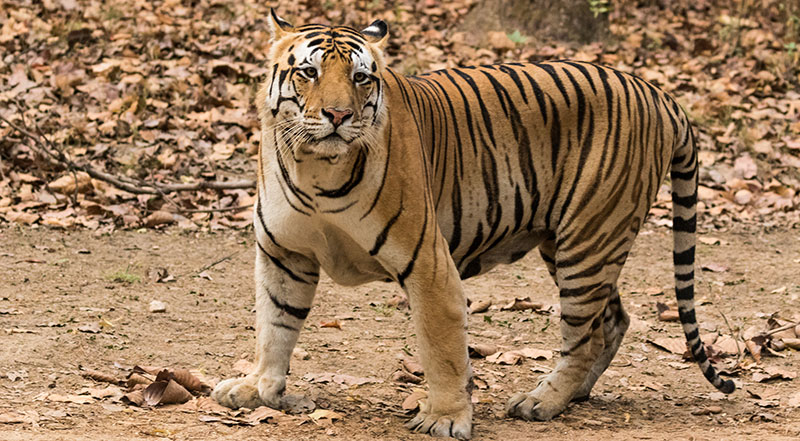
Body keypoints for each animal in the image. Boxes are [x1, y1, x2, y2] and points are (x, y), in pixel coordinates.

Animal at [211, 9, 735, 439]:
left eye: (360, 77)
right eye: (309, 72)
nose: (338, 115)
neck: (315, 167)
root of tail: (659, 93)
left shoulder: (428, 263)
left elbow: (441, 347)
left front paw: (445, 418)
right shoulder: (284, 253)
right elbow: (275, 325)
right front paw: (258, 389)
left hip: (589, 239)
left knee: (584, 335)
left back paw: (542, 401)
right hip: (569, 242)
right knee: (612, 321)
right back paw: (574, 393)